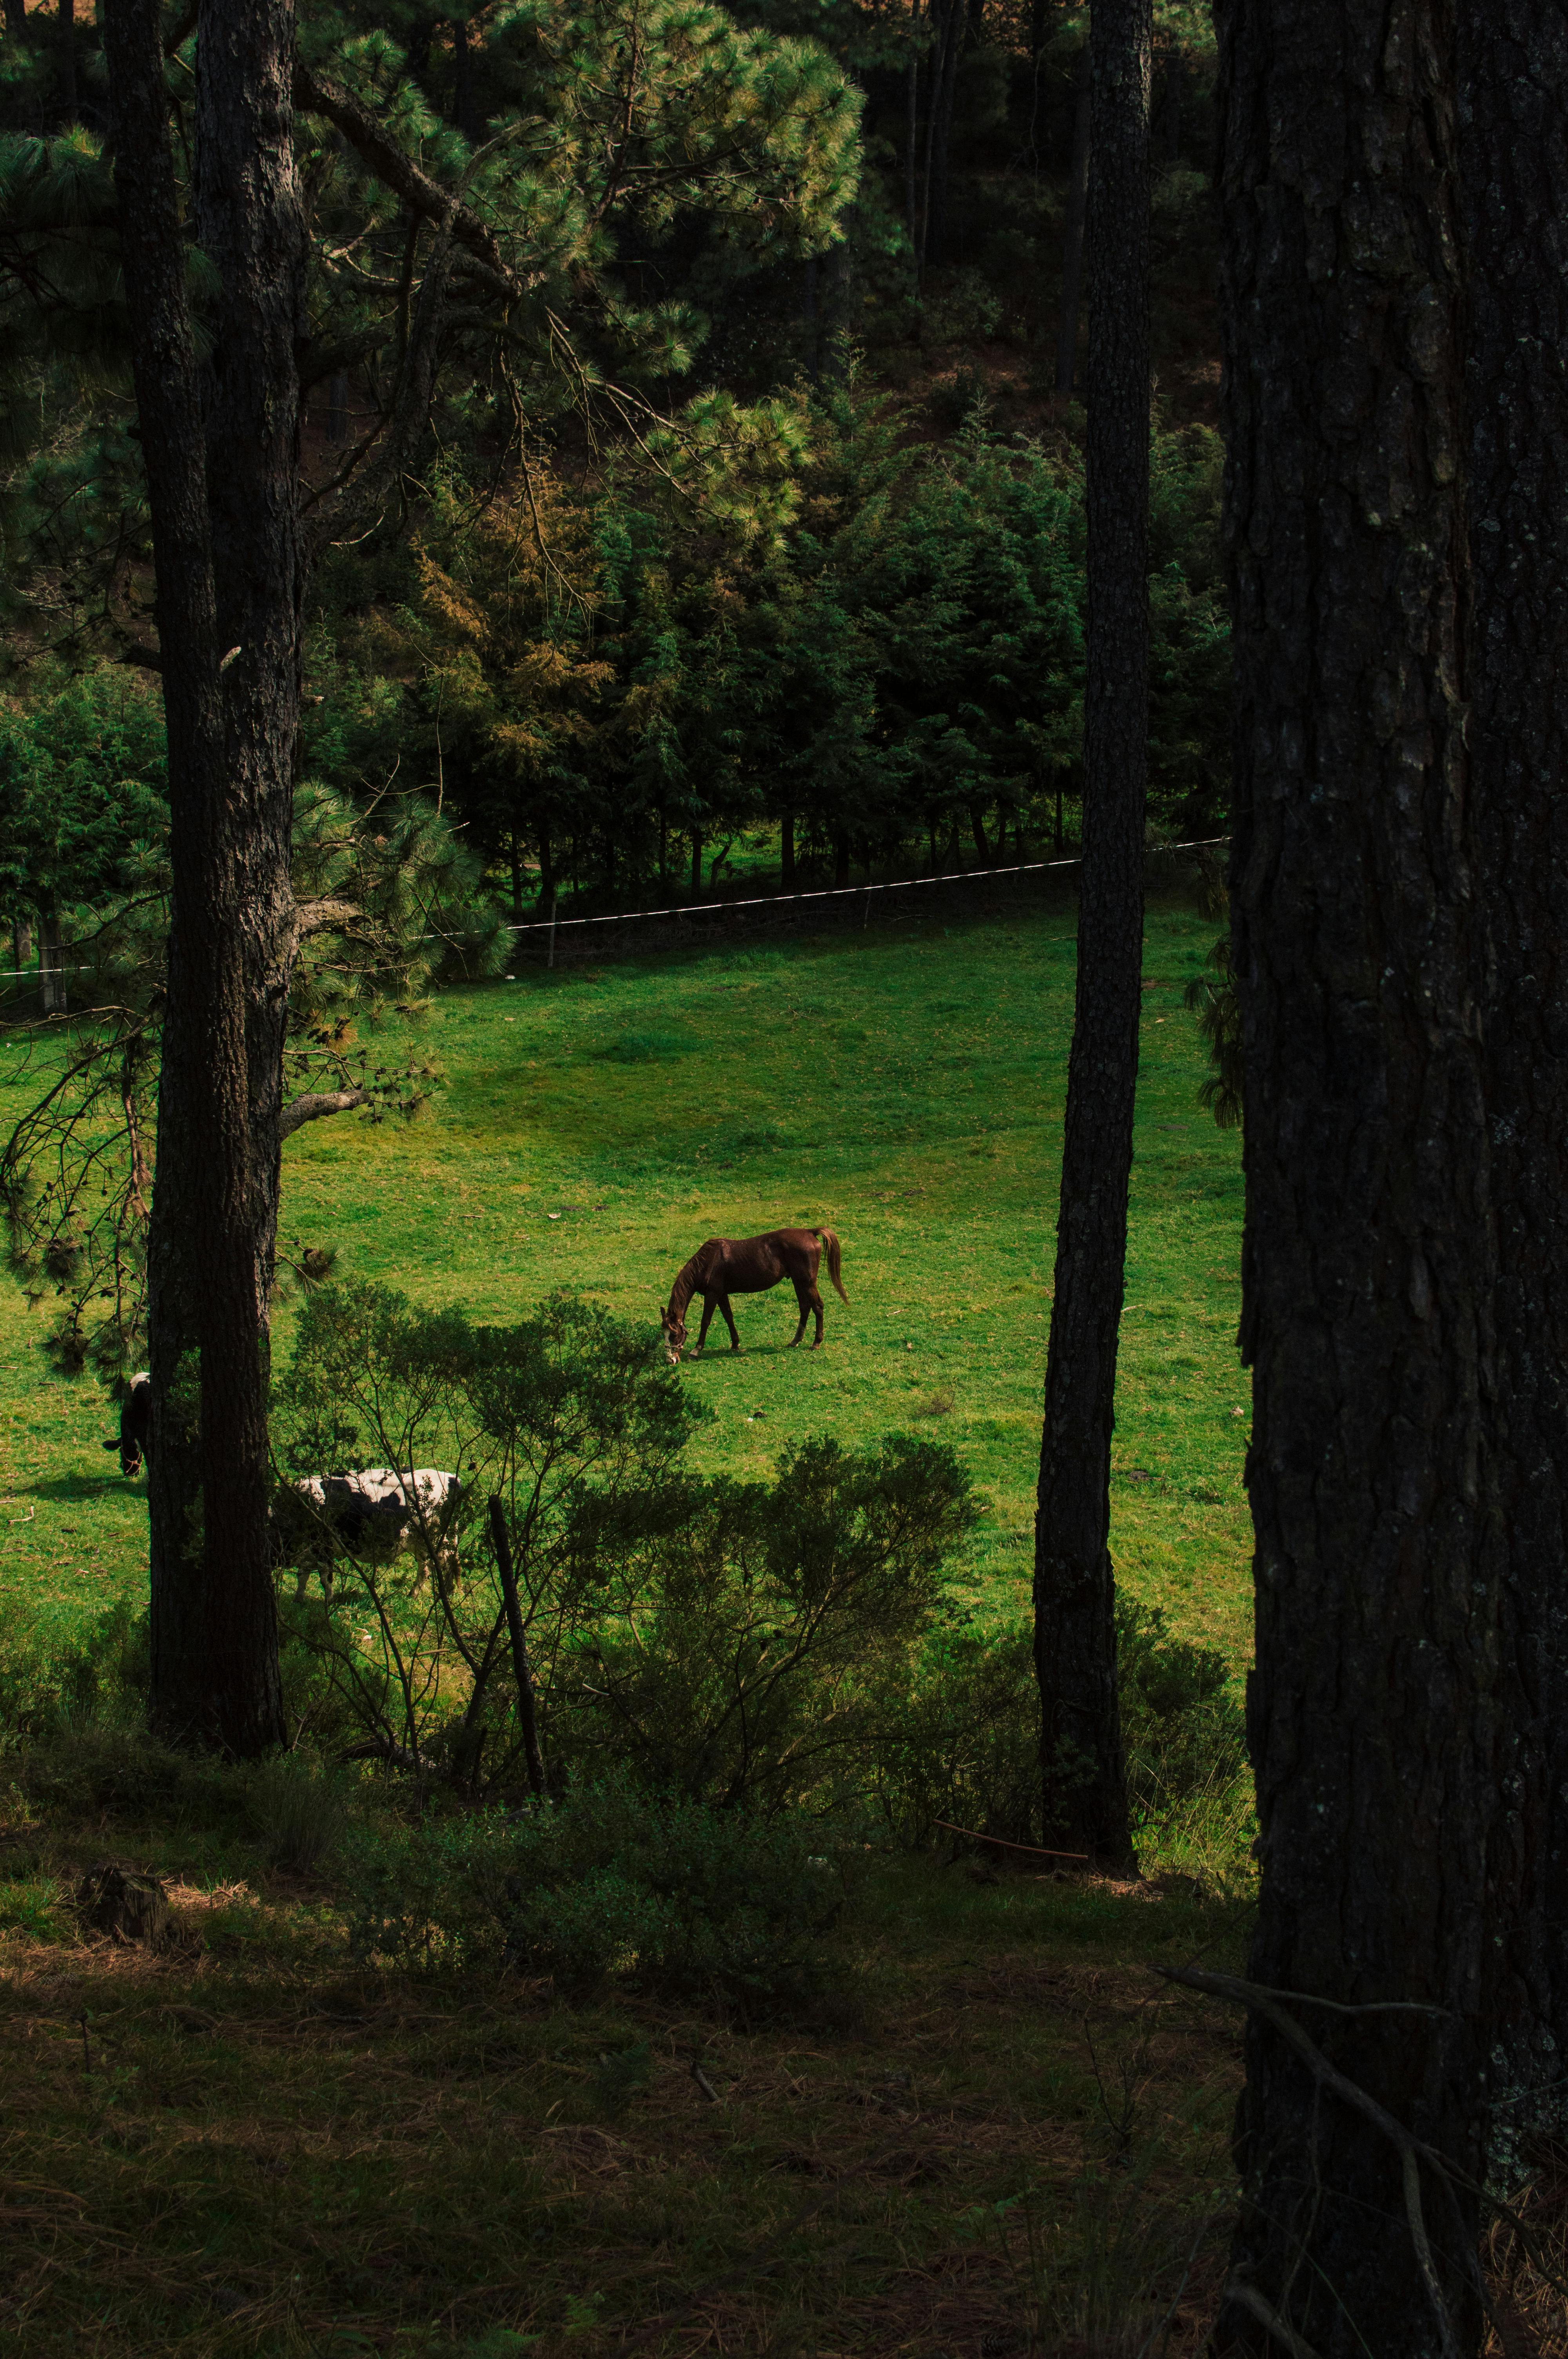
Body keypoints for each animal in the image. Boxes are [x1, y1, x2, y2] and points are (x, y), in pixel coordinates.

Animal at [660, 1228, 848, 1362]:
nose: (671, 1361)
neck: (708, 1262)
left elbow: (706, 1321)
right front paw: (735, 1344)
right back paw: (795, 1341)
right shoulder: (722, 1295)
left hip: (807, 1283)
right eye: (664, 1335)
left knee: (818, 1307)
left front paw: (697, 1349)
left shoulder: (713, 1294)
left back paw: (816, 1343)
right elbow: (729, 1317)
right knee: (805, 1307)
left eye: (675, 1334)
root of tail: (810, 1232)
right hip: (798, 1282)